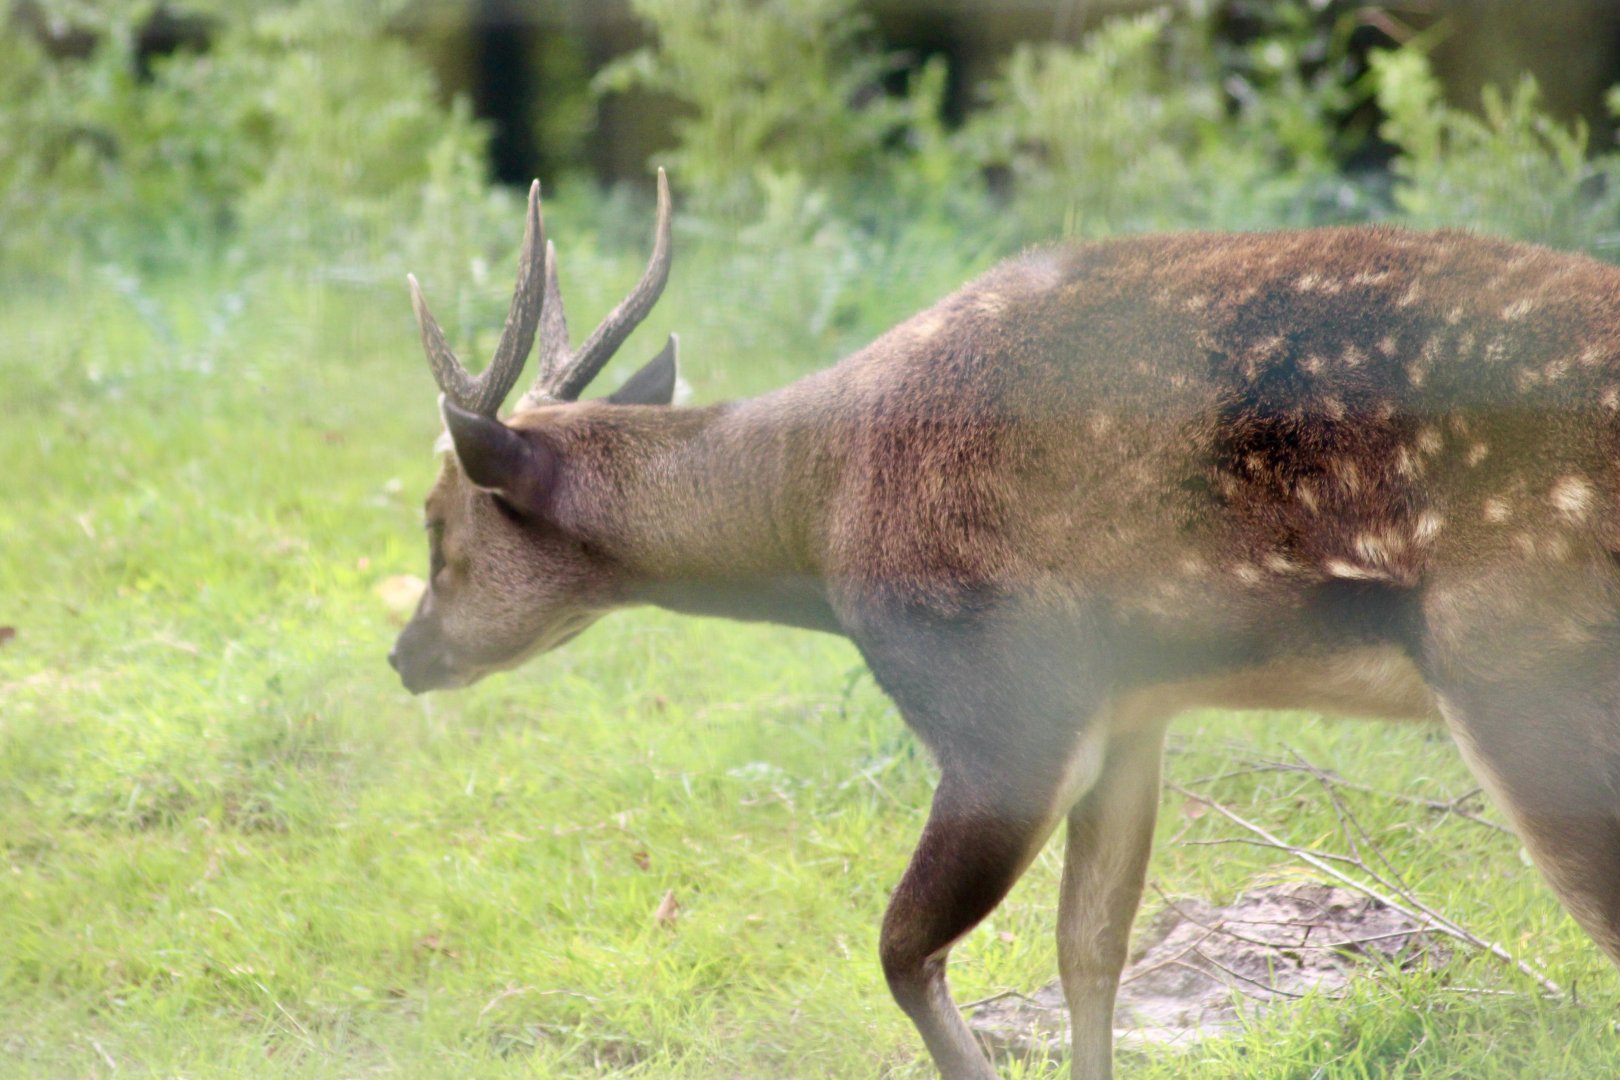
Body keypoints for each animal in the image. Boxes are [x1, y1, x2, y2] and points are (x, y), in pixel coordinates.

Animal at [388, 171, 1620, 1079]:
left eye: (439, 520)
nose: (405, 654)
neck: (818, 509)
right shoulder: (1133, 711)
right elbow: (1091, 949)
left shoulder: (1000, 702)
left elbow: (903, 951)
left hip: (1523, 669)